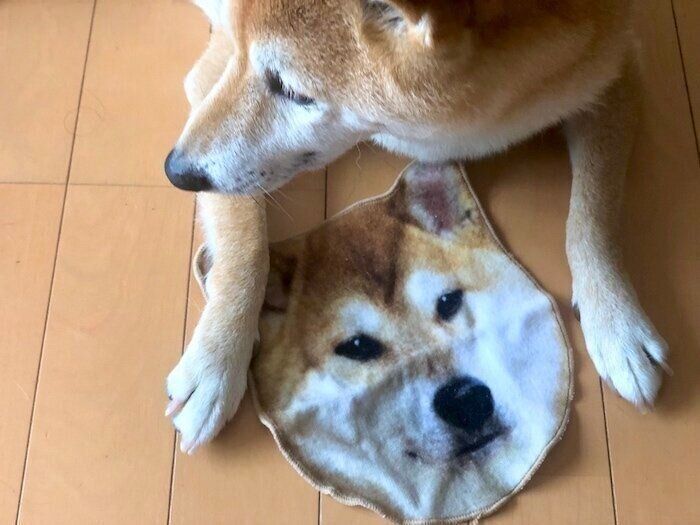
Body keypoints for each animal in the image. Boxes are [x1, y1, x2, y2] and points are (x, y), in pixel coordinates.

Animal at [164, 0, 668, 454]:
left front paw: (616, 319)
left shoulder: (614, 72)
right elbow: (249, 246)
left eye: (294, 92)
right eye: (243, 53)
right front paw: (216, 361)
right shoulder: (213, 69)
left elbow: (593, 215)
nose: (175, 171)